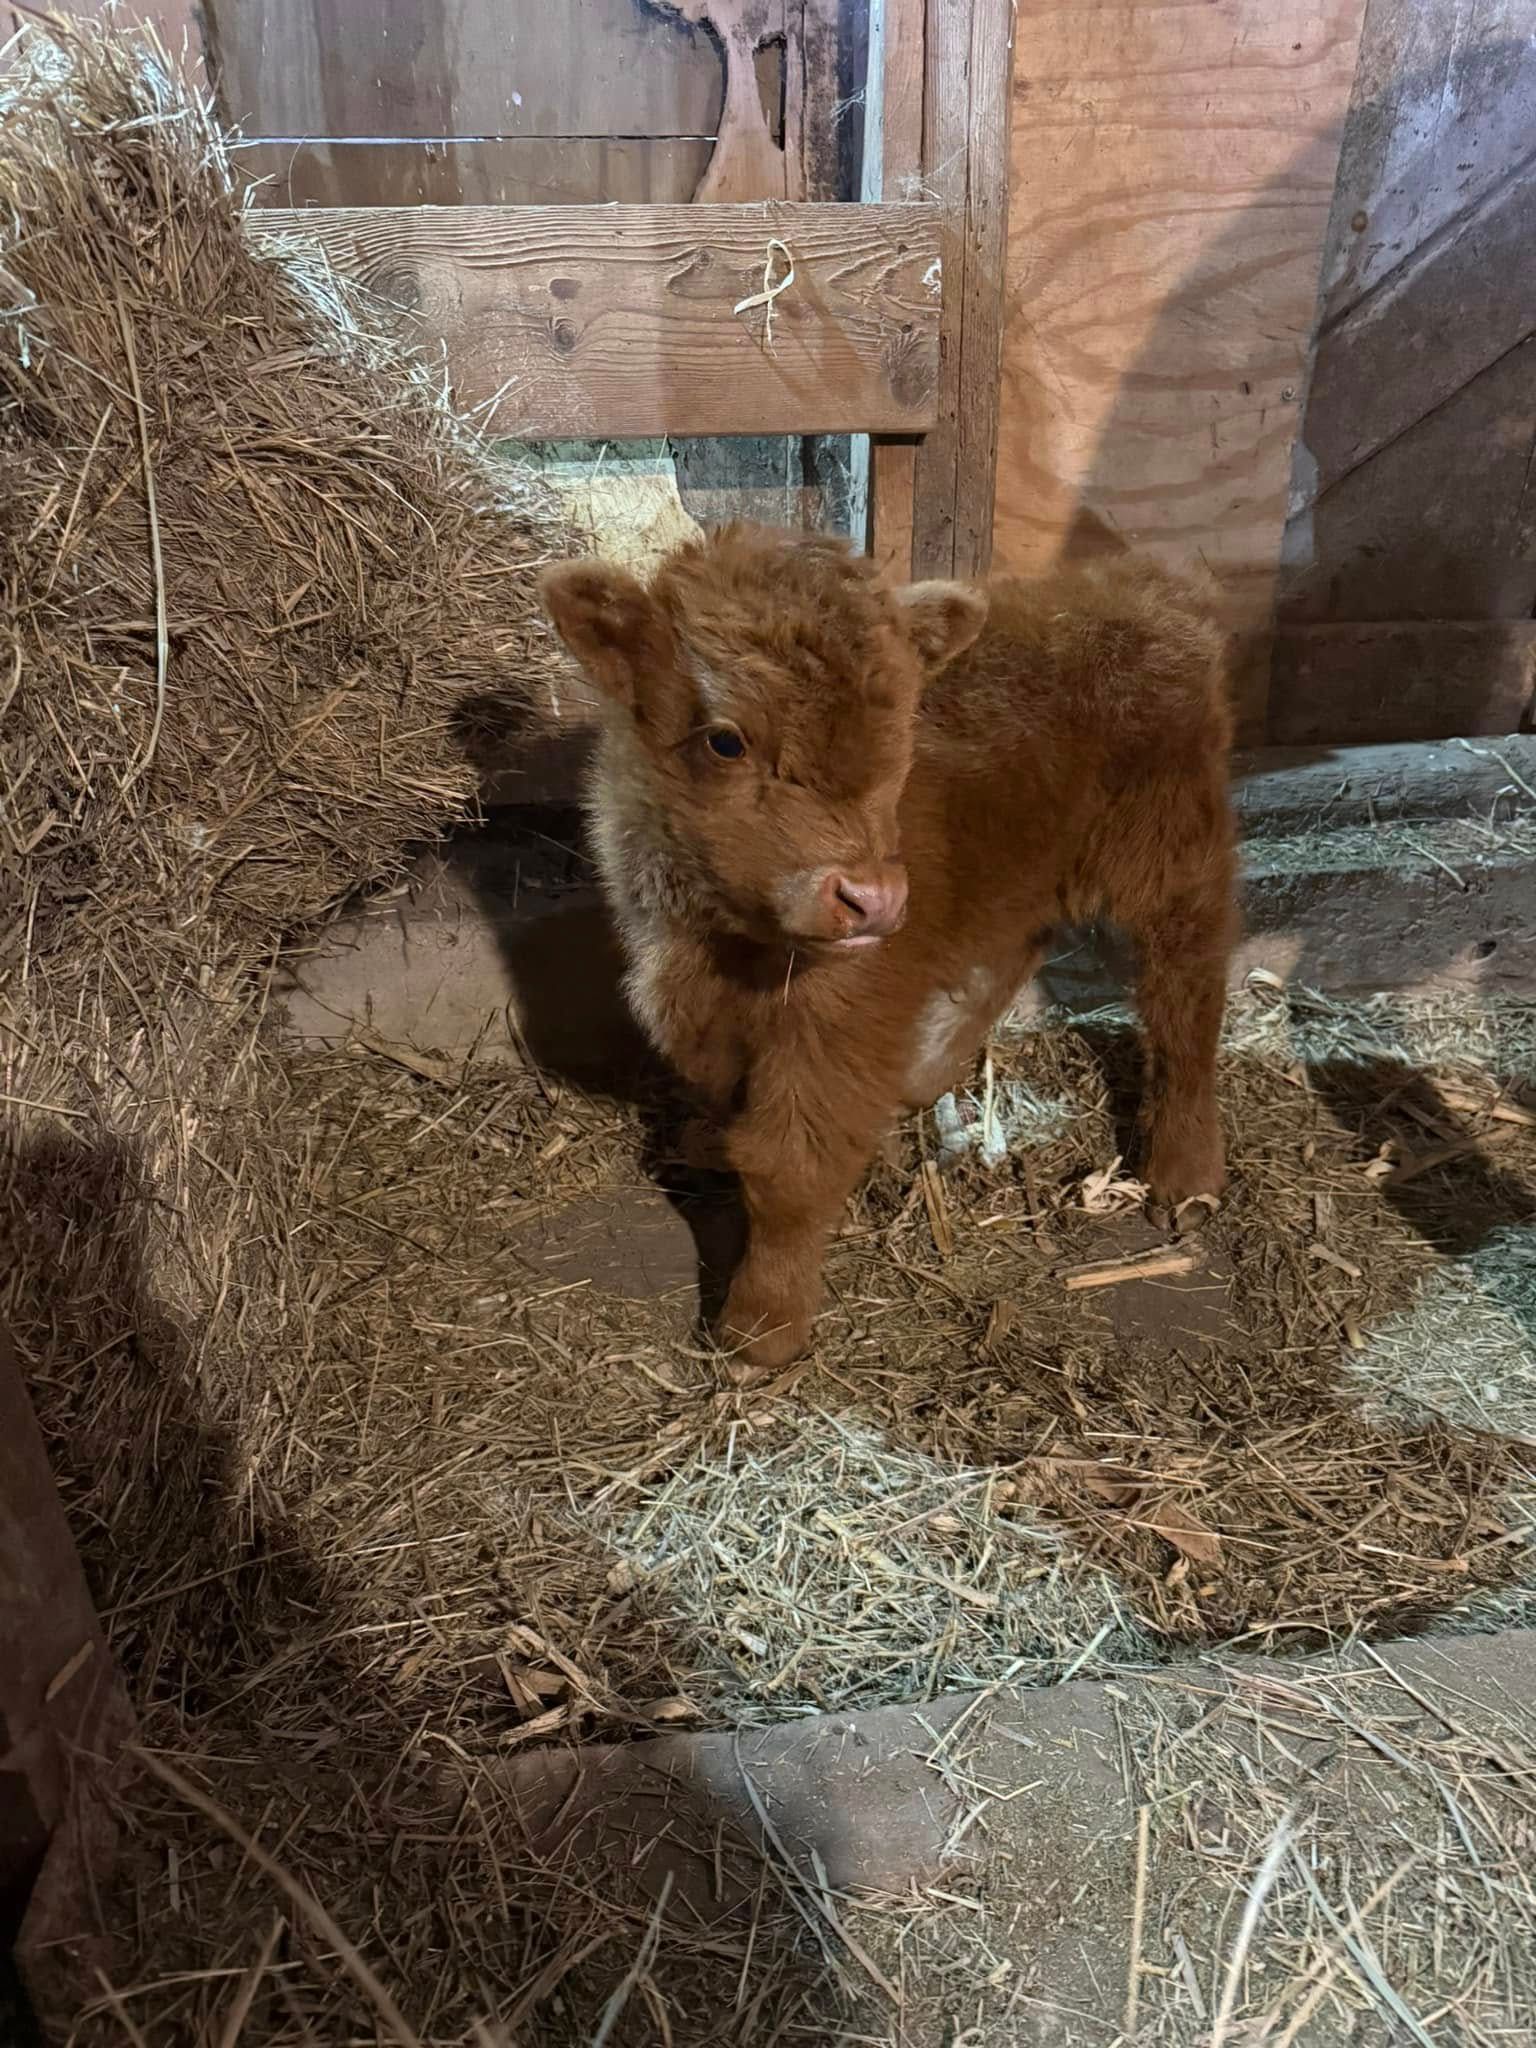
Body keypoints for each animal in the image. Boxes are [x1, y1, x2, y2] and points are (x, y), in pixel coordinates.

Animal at [541, 524, 1237, 1371]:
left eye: (901, 728)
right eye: (725, 740)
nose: (874, 899)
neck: (710, 934)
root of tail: (1142, 584)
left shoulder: (839, 1017)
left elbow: (789, 1165)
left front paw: (763, 1326)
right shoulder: (690, 996)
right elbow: (718, 1089)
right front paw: (706, 1140)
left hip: (1173, 853)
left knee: (1186, 990)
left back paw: (1184, 1173)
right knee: (1019, 943)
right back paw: (927, 1070)